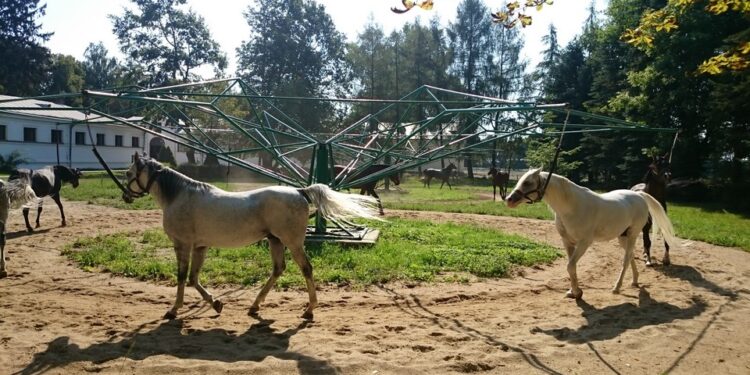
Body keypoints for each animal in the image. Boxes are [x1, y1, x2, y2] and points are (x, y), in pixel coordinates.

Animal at [126, 154, 382, 322]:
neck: (180, 196)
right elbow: (193, 279)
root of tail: (300, 192)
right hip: (275, 241)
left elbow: (181, 277)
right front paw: (216, 304)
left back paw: (309, 310)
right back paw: (255, 306)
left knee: (306, 269)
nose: (126, 195)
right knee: (278, 269)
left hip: (292, 243)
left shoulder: (182, 245)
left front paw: (173, 310)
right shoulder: (200, 247)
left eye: (129, 173)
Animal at [508, 169, 680, 302]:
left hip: (633, 234)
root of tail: (640, 195)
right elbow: (572, 267)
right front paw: (573, 292)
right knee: (630, 255)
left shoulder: (584, 243)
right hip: (622, 237)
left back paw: (616, 287)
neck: (572, 206)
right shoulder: (567, 242)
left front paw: (577, 292)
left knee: (626, 259)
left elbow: (570, 266)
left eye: (528, 182)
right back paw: (634, 281)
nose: (509, 200)